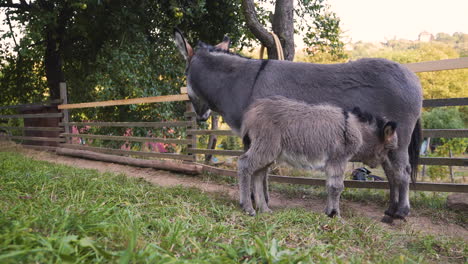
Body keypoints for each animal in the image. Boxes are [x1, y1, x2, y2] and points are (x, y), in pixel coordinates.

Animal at [239, 97, 396, 217]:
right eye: (389, 149)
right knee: (244, 165)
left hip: (268, 152)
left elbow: (330, 185)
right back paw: (248, 208)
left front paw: (328, 212)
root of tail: (253, 110)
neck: (355, 129)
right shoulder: (338, 159)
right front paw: (335, 215)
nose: (377, 165)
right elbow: (337, 187)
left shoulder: (332, 163)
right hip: (266, 147)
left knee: (258, 174)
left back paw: (264, 209)